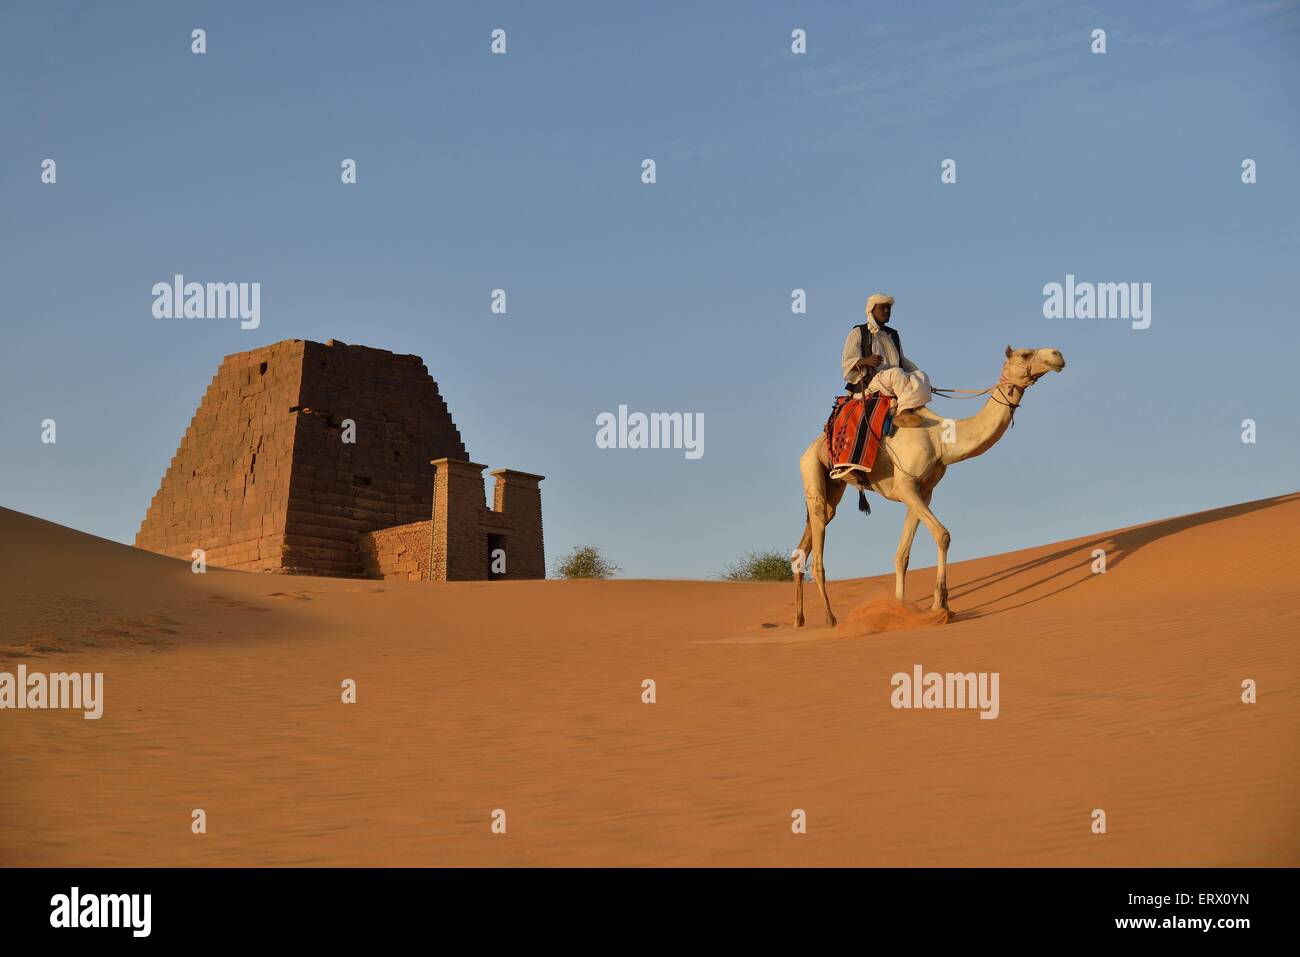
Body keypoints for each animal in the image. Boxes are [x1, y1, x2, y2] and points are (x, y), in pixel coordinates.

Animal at [790, 343, 1066, 629]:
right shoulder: (905, 485)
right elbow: (943, 535)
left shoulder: (923, 491)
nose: (1057, 355)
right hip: (811, 469)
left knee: (811, 534)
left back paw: (799, 619)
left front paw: (900, 610)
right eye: (1025, 354)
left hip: (833, 486)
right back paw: (830, 618)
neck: (941, 441)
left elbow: (902, 556)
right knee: (818, 544)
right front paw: (940, 606)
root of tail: (811, 446)